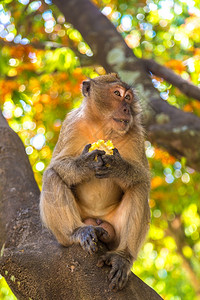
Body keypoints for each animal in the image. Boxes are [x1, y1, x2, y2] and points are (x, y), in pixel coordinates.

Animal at [39, 72, 151, 290]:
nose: (127, 108)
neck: (103, 128)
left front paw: (118, 167)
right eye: (117, 94)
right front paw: (85, 164)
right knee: (52, 176)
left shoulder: (135, 132)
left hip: (115, 230)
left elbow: (142, 176)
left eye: (128, 98)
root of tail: (98, 219)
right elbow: (56, 164)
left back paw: (123, 256)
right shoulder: (71, 124)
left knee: (139, 187)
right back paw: (77, 232)